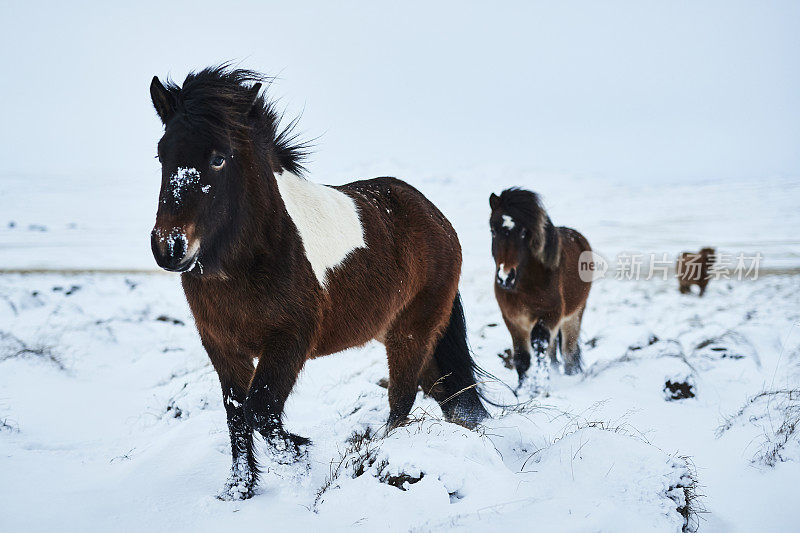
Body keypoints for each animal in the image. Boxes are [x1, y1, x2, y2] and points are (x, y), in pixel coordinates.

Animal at [148, 66, 488, 498]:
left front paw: (301, 458)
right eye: (161, 154)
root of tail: (436, 219)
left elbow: (261, 411)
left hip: (411, 333)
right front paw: (240, 491)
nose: (170, 247)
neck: (249, 261)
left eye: (219, 159)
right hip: (407, 332)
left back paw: (383, 450)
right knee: (445, 393)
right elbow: (237, 416)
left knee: (402, 400)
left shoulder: (290, 340)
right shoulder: (222, 346)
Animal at [488, 187, 592, 390]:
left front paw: (538, 387)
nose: (505, 277)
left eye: (523, 232)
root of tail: (578, 237)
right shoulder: (513, 320)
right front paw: (522, 391)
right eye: (493, 230)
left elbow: (539, 347)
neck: (524, 286)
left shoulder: (549, 315)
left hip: (574, 315)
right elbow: (522, 357)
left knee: (569, 352)